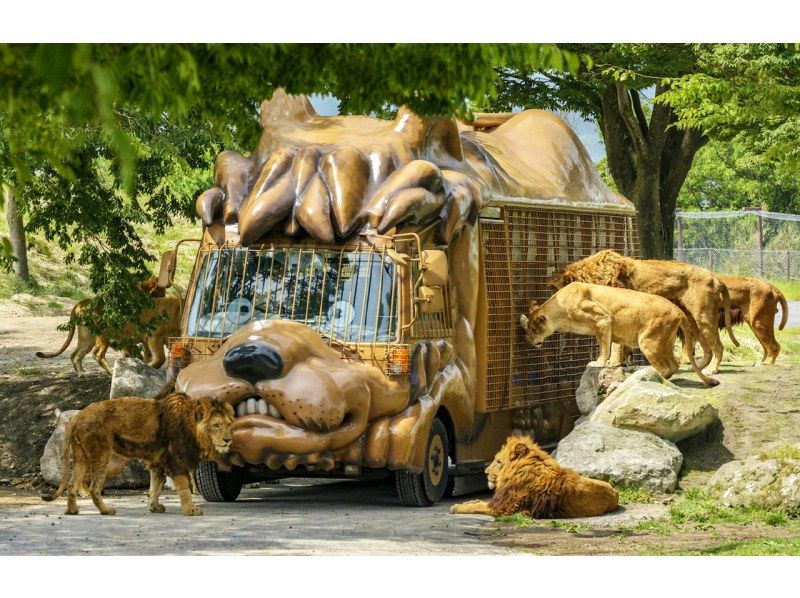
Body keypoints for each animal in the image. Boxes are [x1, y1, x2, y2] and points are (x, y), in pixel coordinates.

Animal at [41, 394, 234, 516]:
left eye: (229, 424)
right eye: (216, 425)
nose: (228, 440)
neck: (192, 426)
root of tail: (77, 416)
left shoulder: (158, 462)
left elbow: (156, 486)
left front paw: (154, 506)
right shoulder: (174, 460)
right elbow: (184, 487)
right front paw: (191, 510)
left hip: (81, 457)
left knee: (71, 486)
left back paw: (72, 511)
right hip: (103, 457)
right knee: (93, 488)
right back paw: (106, 511)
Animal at [450, 436, 620, 520]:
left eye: (498, 461)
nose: (485, 472)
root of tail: (615, 493)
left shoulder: (505, 507)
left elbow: (478, 506)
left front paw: (457, 507)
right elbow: (480, 502)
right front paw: (468, 501)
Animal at [520, 282, 720, 386]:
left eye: (533, 329)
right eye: (527, 329)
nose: (527, 339)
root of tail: (677, 309)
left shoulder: (603, 319)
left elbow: (604, 347)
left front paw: (599, 362)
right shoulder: (605, 326)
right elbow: (610, 345)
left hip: (648, 342)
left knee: (665, 368)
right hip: (665, 342)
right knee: (674, 365)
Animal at [552, 250, 736, 376]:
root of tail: (716, 277)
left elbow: (615, 344)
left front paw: (613, 362)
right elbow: (622, 343)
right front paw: (623, 362)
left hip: (703, 315)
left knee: (717, 346)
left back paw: (711, 370)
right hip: (692, 319)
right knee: (707, 348)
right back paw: (695, 367)